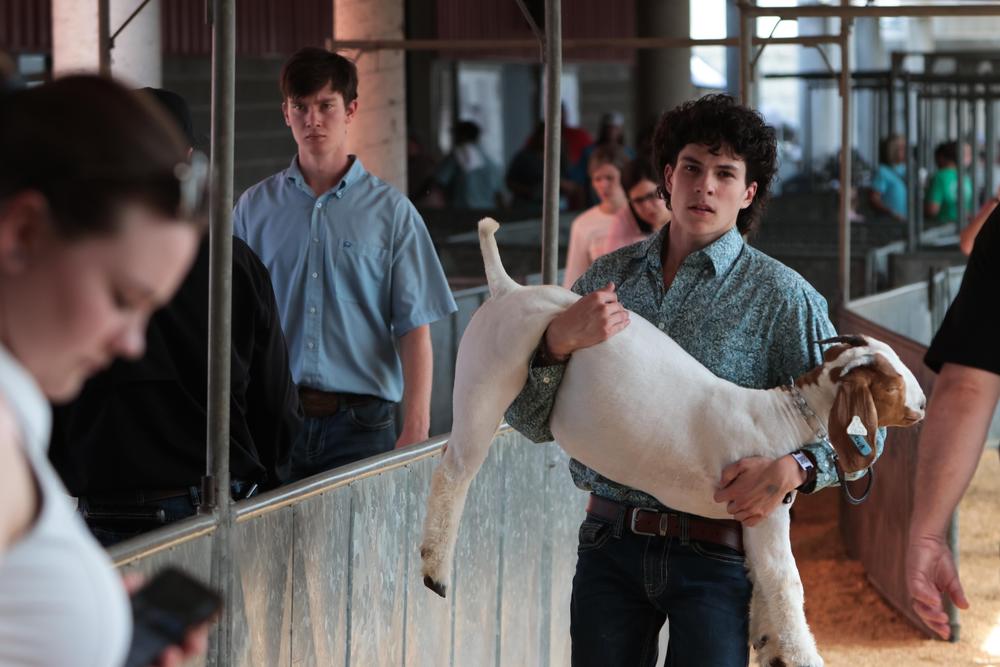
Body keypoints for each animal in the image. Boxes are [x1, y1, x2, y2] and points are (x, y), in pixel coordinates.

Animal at [418, 219, 924, 667]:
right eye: (891, 384)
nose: (921, 404)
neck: (780, 415)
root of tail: (507, 288)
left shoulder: (752, 515)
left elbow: (761, 579)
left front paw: (769, 643)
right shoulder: (765, 511)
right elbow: (786, 582)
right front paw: (801, 656)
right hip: (487, 376)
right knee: (453, 468)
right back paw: (435, 572)